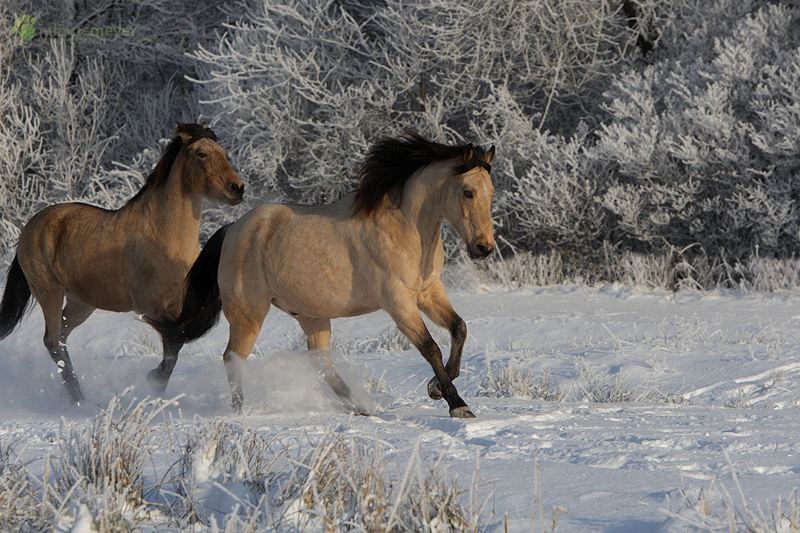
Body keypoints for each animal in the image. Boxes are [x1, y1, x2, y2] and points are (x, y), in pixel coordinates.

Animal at [0, 121, 244, 404]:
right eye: (202, 154)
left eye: (223, 153)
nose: (237, 188)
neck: (164, 235)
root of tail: (30, 227)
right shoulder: (151, 306)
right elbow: (175, 343)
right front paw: (153, 381)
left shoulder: (177, 306)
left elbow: (174, 348)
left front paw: (157, 387)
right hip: (49, 291)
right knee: (53, 342)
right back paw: (79, 399)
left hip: (80, 303)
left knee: (60, 338)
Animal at [153, 132, 494, 416]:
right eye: (467, 192)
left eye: (490, 192)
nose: (484, 247)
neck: (406, 228)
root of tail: (233, 229)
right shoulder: (398, 301)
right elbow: (431, 348)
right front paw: (457, 405)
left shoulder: (429, 291)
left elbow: (459, 329)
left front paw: (435, 389)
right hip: (248, 313)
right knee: (233, 358)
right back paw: (240, 413)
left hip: (311, 315)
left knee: (322, 364)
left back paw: (361, 409)